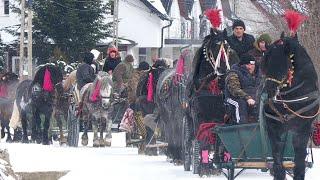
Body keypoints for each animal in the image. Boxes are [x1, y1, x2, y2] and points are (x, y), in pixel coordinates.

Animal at [262, 31, 318, 179]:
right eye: (265, 62)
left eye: (282, 63)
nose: (269, 90)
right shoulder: (273, 128)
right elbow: (277, 155)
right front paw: (278, 172)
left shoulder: (303, 128)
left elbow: (299, 158)